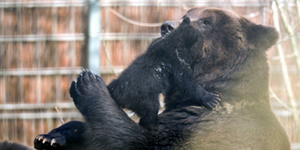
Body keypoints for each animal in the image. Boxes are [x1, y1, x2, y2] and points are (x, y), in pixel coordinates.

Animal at [34, 7, 290, 150]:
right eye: (186, 13)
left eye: (206, 21)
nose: (167, 25)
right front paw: (51, 137)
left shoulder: (207, 129)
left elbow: (137, 140)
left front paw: (88, 85)